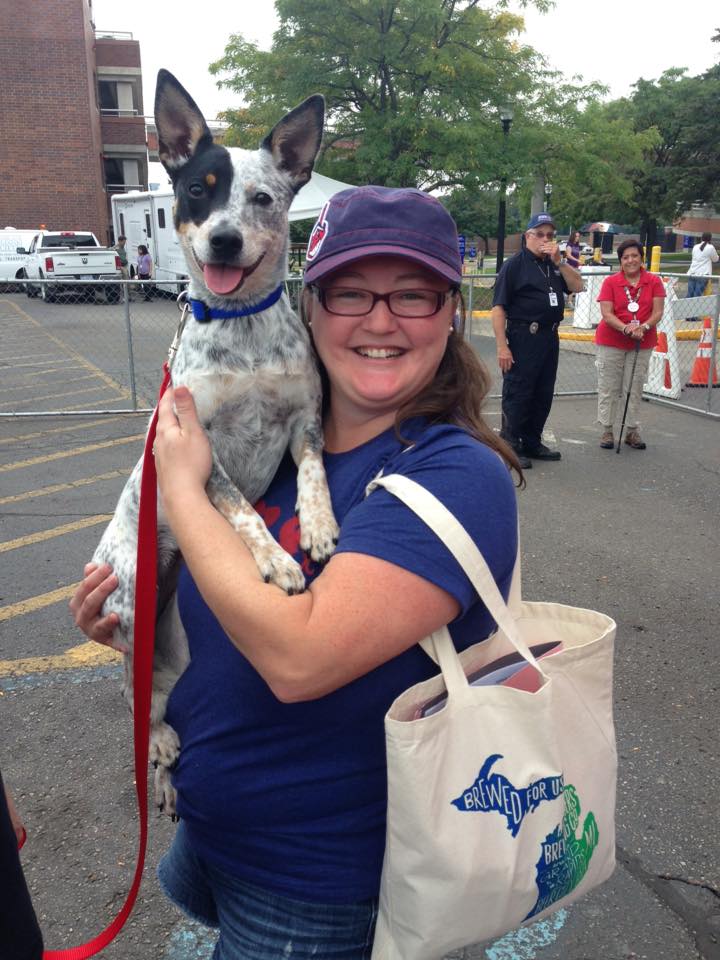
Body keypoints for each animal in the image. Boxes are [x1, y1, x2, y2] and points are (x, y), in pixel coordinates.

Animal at [94, 67, 338, 816]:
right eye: (198, 189)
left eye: (262, 197)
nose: (225, 240)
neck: (243, 331)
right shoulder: (200, 449)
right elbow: (243, 513)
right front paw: (278, 562)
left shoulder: (304, 420)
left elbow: (314, 470)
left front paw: (317, 525)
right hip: (128, 603)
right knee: (132, 697)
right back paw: (160, 751)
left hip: (175, 647)